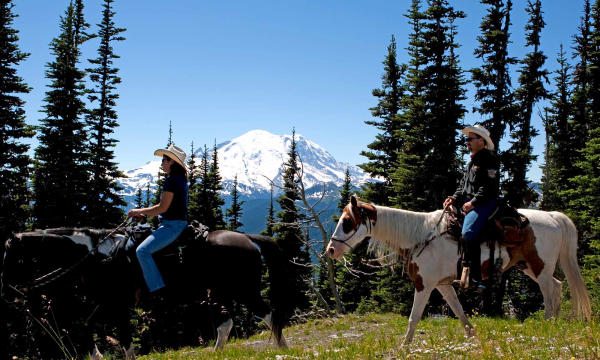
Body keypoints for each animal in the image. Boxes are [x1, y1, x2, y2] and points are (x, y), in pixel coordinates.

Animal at [1, 224, 294, 358]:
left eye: (12, 258)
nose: (6, 292)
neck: (96, 257)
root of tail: (248, 239)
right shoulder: (105, 303)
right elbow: (88, 326)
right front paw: (96, 355)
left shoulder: (115, 304)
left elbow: (122, 337)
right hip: (221, 291)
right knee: (227, 323)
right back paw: (216, 352)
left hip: (244, 289)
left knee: (269, 315)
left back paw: (283, 347)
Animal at [326, 195, 588, 344]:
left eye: (347, 222)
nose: (330, 250)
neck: (420, 237)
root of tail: (553, 217)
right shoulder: (442, 284)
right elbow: (458, 309)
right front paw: (472, 335)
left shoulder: (424, 285)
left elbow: (414, 316)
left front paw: (404, 346)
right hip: (529, 267)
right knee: (557, 286)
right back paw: (554, 323)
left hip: (540, 267)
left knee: (550, 293)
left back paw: (548, 324)